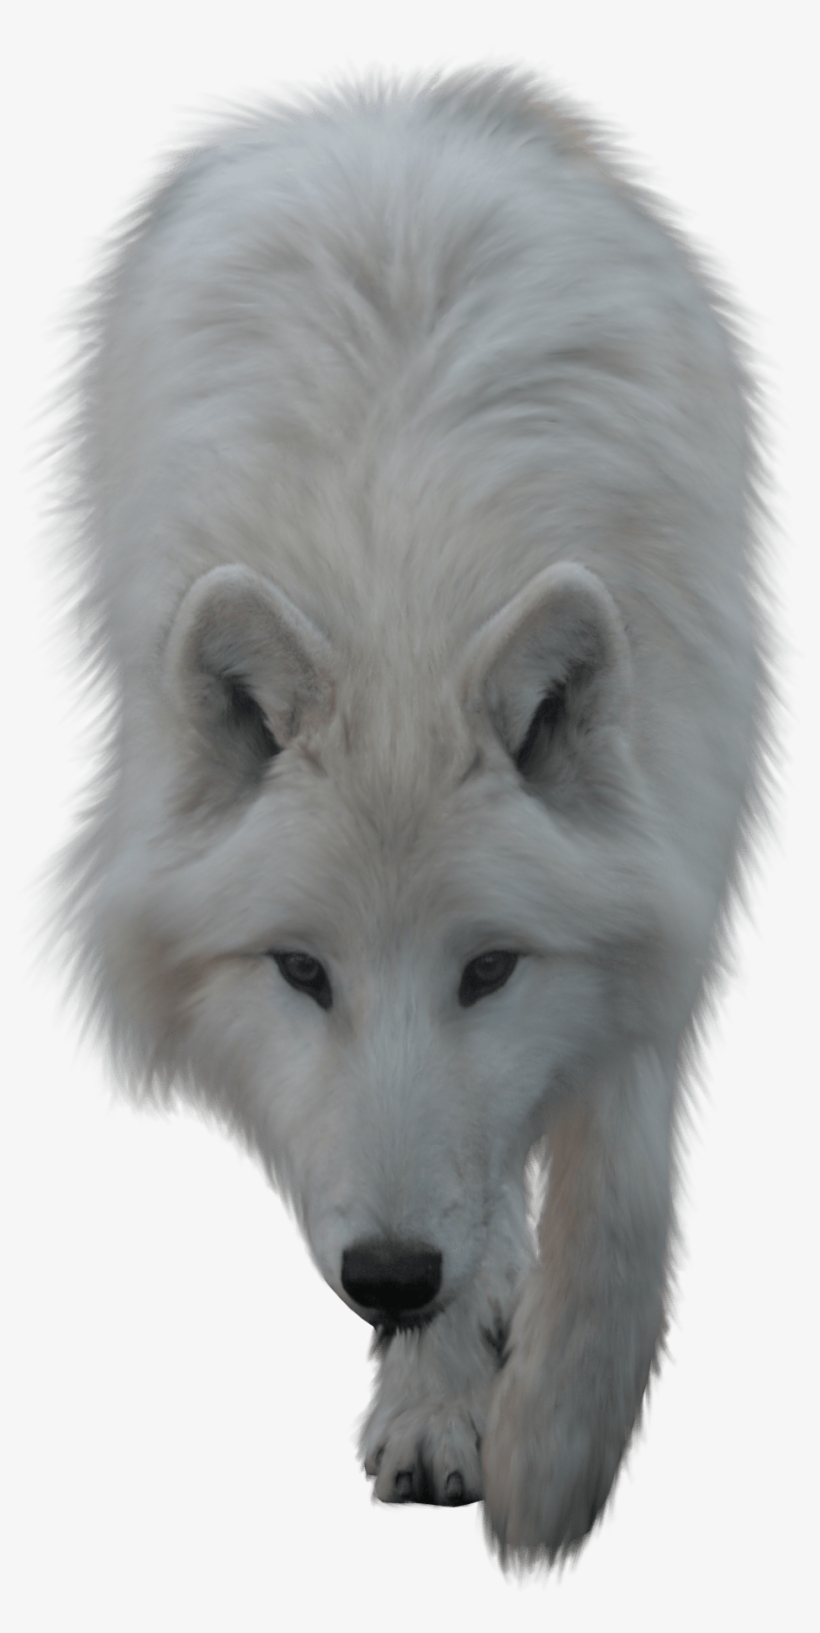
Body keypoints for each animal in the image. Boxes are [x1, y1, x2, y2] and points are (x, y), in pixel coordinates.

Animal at [62, 71, 764, 1561]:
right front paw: (443, 1392)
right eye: (300, 970)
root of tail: (389, 105)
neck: (405, 597)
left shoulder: (666, 876)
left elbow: (615, 1188)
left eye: (489, 967)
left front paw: (554, 1457)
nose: (388, 1278)